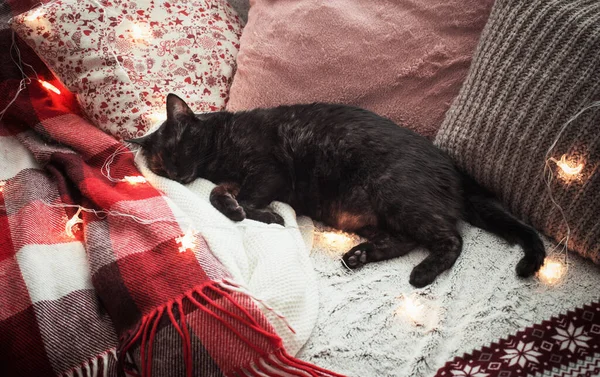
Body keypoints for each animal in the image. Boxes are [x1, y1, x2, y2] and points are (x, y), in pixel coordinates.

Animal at [129, 93, 548, 284]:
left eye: (179, 149)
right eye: (161, 167)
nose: (178, 174)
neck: (218, 155)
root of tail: (458, 172)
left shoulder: (267, 171)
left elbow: (246, 198)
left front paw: (266, 216)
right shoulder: (233, 180)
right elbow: (219, 196)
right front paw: (239, 210)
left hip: (396, 194)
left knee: (451, 238)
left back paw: (422, 274)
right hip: (374, 216)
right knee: (405, 240)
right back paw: (358, 256)